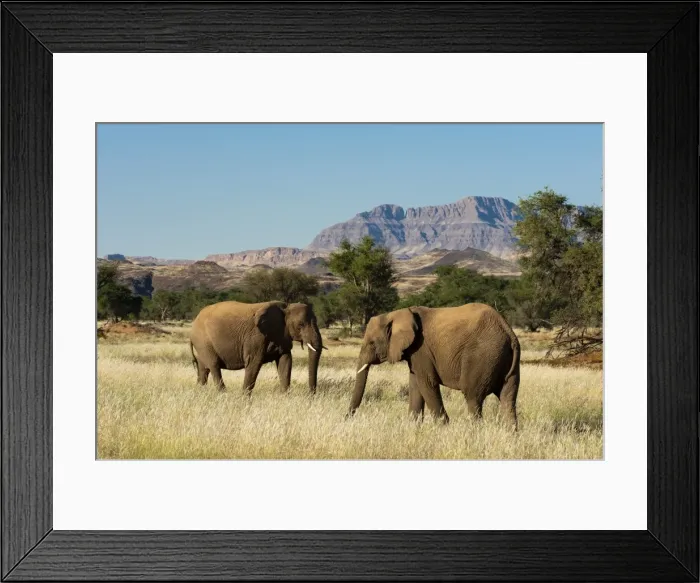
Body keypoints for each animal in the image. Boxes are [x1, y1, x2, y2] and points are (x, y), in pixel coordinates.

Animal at [189, 300, 324, 395]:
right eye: (300, 325)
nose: (311, 395)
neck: (286, 307)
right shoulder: (256, 337)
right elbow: (254, 363)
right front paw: (244, 400)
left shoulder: (282, 336)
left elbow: (285, 362)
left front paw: (285, 397)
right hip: (203, 342)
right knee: (214, 366)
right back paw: (223, 395)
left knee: (203, 369)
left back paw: (200, 392)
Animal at [348, 303, 521, 430]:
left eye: (372, 343)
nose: (347, 418)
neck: (395, 314)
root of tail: (509, 334)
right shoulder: (415, 354)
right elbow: (415, 385)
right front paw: (413, 428)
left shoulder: (421, 349)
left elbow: (427, 383)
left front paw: (443, 428)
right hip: (506, 363)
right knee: (508, 399)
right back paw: (510, 435)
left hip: (481, 356)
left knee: (473, 398)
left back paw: (473, 433)